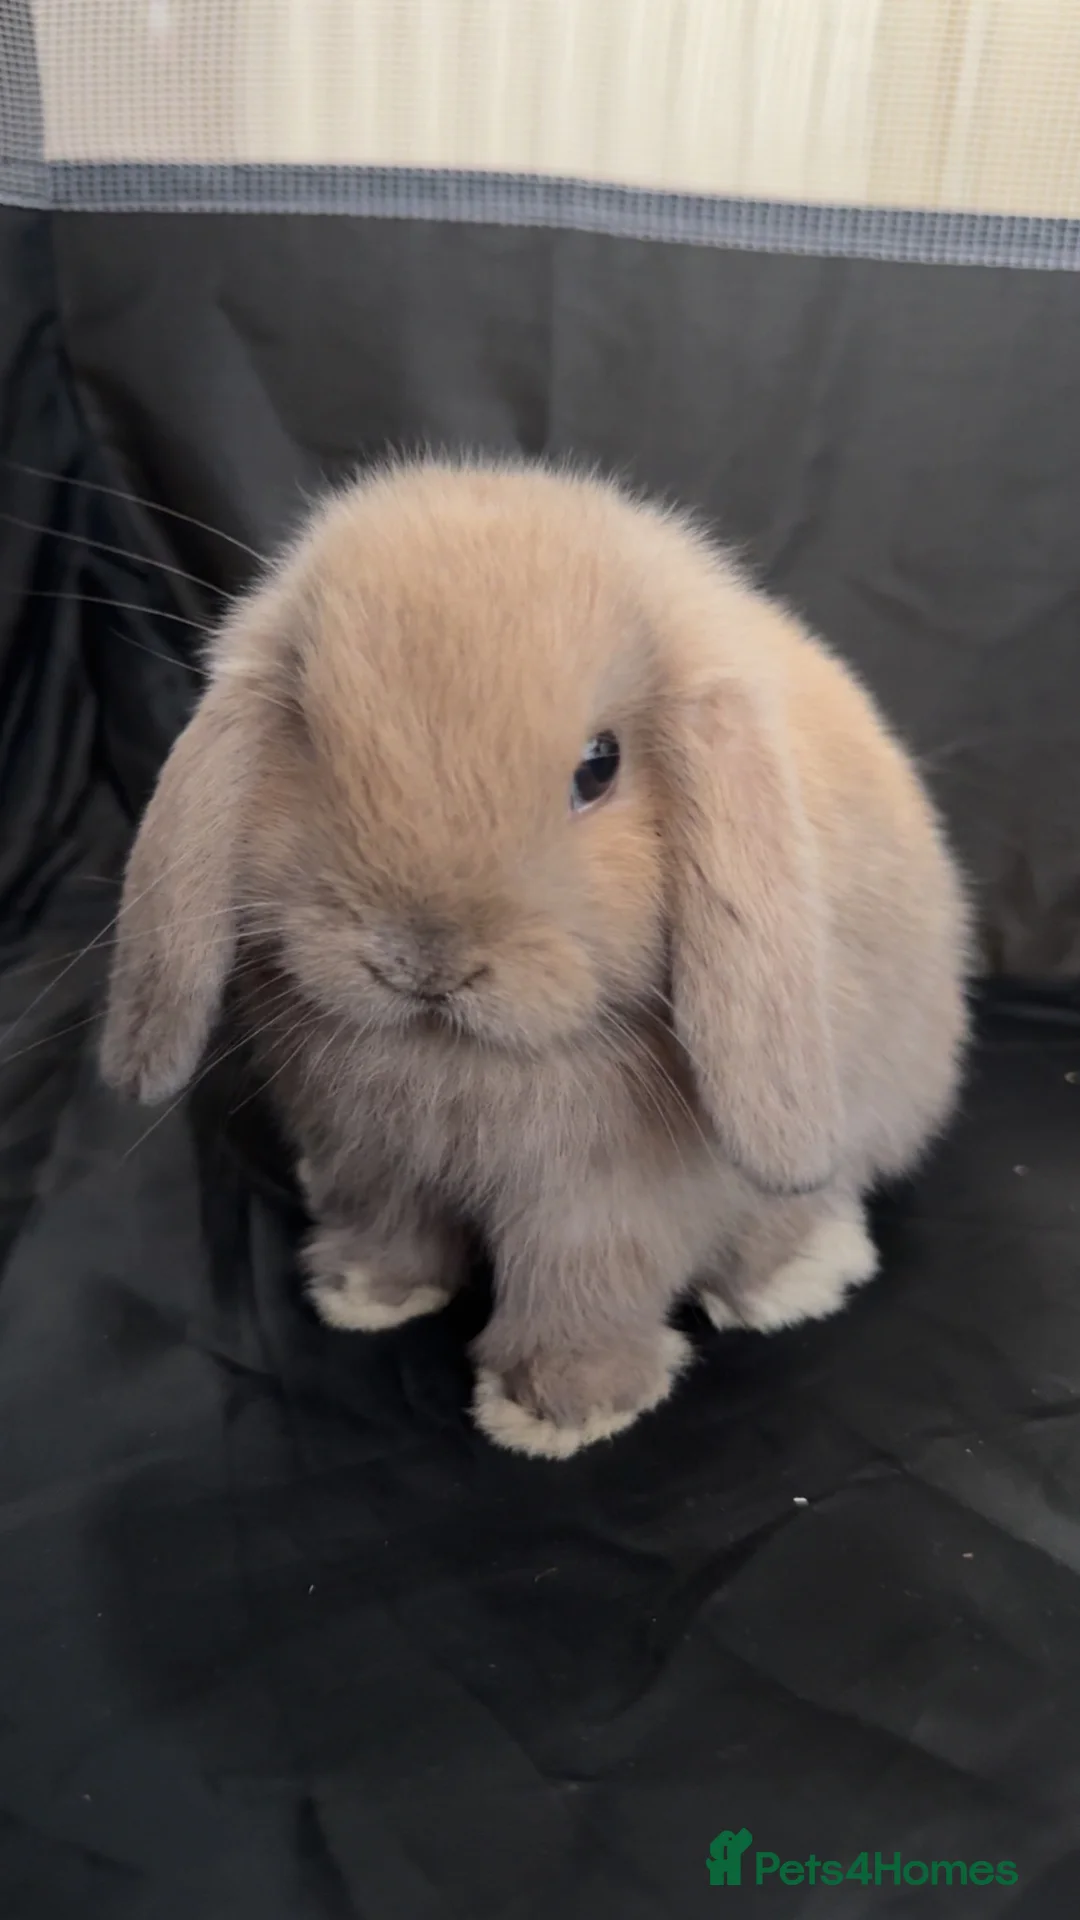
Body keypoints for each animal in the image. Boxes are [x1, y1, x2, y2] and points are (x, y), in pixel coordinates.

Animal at [100, 458, 970, 1459]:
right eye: (309, 738)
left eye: (600, 765)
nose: (423, 960)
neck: (453, 1058)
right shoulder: (369, 1149)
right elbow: (389, 1218)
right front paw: (367, 1290)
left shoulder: (607, 1200)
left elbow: (585, 1278)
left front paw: (561, 1405)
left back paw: (791, 1276)